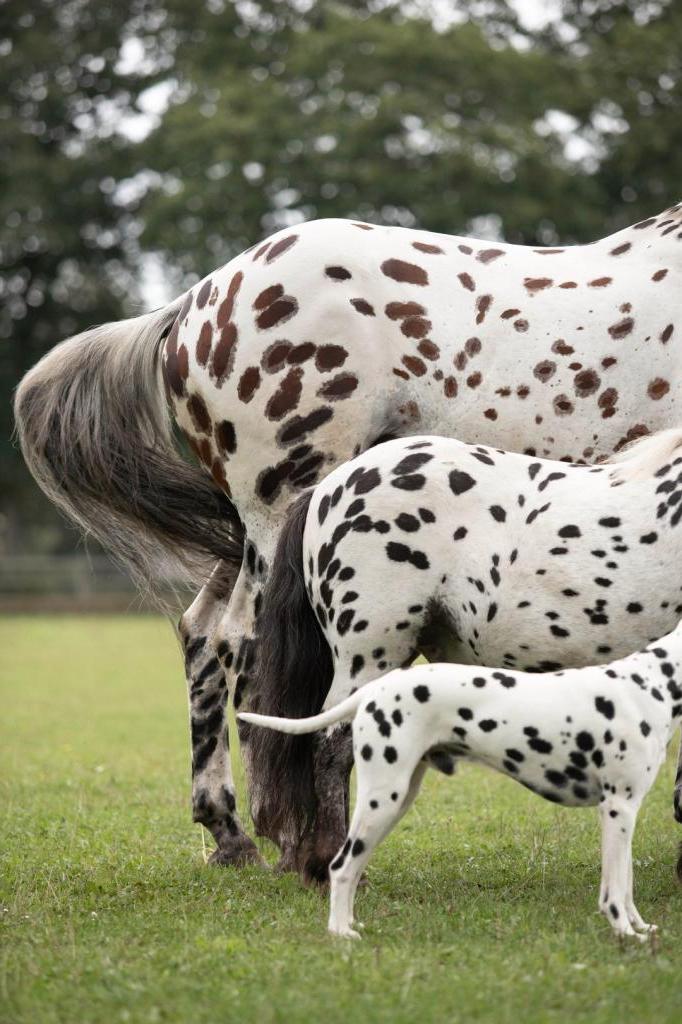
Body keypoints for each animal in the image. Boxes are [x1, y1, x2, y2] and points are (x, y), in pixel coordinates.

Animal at [240, 622, 679, 937]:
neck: (649, 683)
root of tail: (375, 689)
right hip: (381, 799)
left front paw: (640, 927)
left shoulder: (625, 814)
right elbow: (615, 890)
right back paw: (340, 934)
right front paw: (627, 934)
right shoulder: (618, 809)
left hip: (394, 800)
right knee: (341, 865)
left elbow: (627, 883)